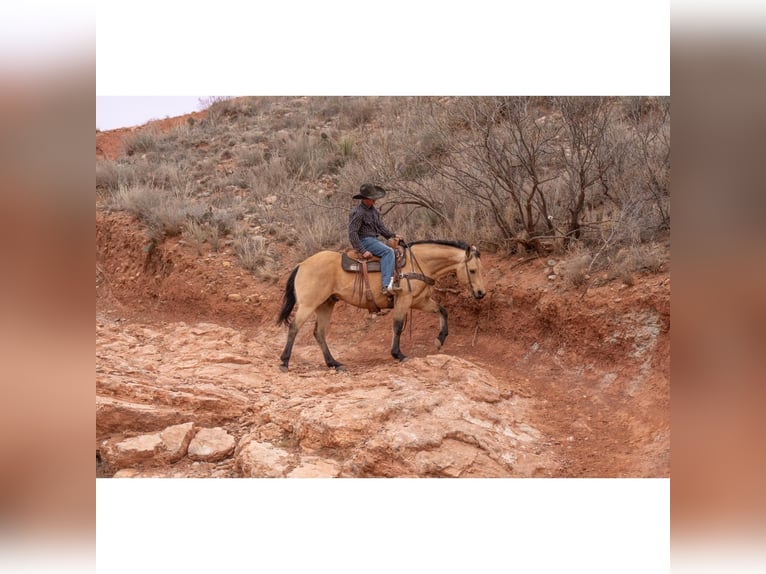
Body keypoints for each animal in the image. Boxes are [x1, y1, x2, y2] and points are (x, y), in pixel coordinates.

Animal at [280, 240, 488, 372]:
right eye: (472, 270)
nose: (481, 293)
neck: (418, 263)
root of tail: (301, 264)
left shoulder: (419, 301)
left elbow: (443, 311)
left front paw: (440, 339)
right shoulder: (403, 299)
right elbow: (397, 326)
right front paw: (398, 354)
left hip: (325, 304)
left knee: (319, 333)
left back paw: (334, 364)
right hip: (308, 304)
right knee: (294, 327)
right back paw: (284, 362)